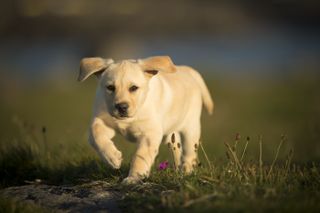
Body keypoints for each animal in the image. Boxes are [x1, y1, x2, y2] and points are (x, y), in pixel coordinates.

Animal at [78, 55, 214, 184]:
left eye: (133, 88)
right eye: (110, 87)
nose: (121, 107)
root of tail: (188, 70)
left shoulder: (150, 133)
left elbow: (140, 156)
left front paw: (134, 177)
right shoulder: (102, 120)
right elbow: (96, 135)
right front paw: (113, 158)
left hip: (191, 127)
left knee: (189, 153)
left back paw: (186, 172)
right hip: (172, 136)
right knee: (177, 149)